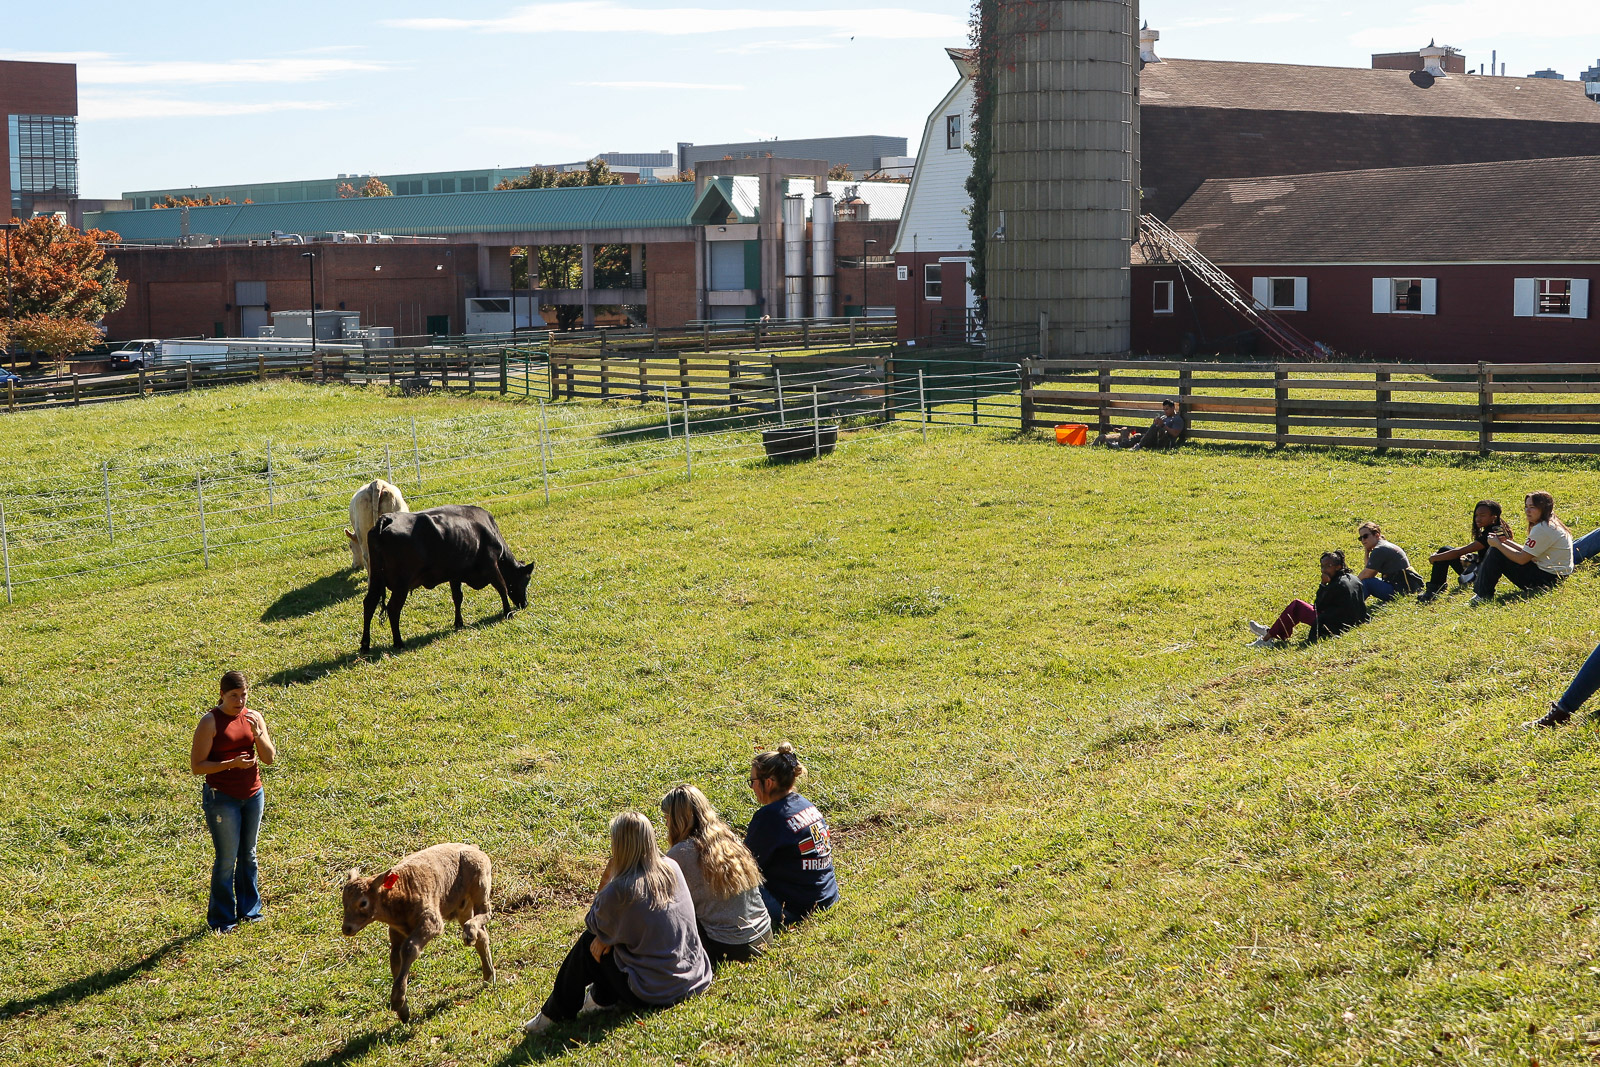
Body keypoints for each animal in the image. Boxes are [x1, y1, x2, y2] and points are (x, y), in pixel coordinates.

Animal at [345, 844, 496, 1023]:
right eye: (344, 902)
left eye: (363, 903)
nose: (346, 928)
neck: (399, 892)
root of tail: (474, 847)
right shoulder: (396, 933)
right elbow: (395, 959)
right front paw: (403, 1011)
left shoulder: (431, 922)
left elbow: (410, 949)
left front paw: (397, 1001)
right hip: (463, 906)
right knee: (482, 936)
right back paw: (488, 975)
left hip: (480, 885)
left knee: (486, 913)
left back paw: (470, 933)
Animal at [360, 508, 534, 652]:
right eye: (525, 581)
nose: (524, 604)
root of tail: (387, 519)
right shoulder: (491, 565)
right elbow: (502, 587)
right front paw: (508, 612)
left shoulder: (455, 575)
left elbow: (457, 597)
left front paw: (458, 623)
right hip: (401, 585)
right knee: (393, 609)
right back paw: (398, 642)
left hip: (376, 579)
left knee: (369, 604)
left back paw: (365, 644)